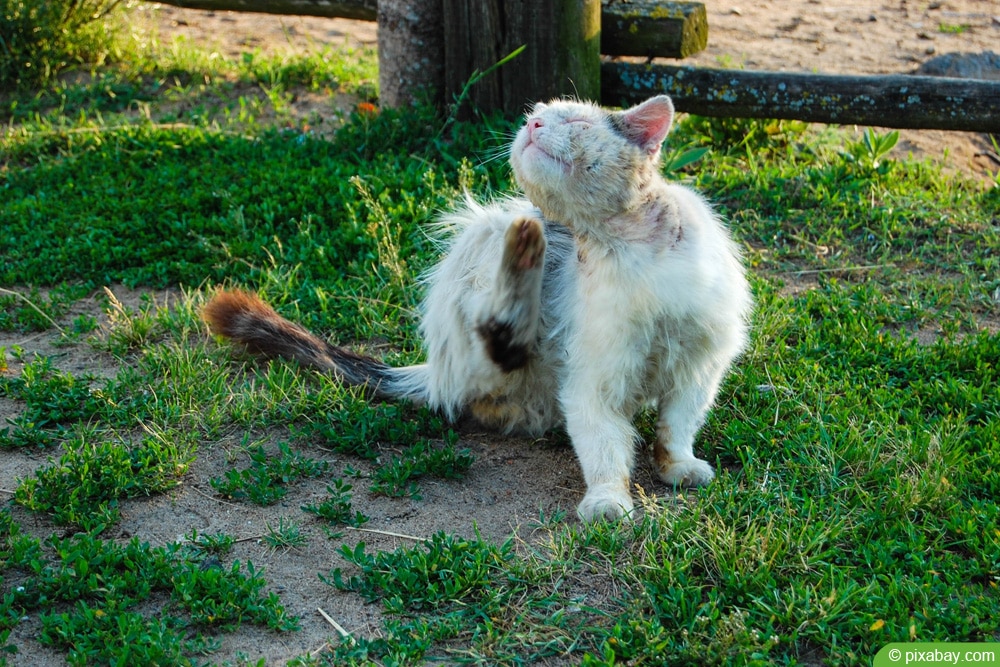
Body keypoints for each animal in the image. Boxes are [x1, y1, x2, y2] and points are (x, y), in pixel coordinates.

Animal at [203, 94, 752, 520]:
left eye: (574, 122)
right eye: (536, 115)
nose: (531, 125)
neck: (627, 249)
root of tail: (434, 370)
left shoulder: (700, 366)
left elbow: (676, 425)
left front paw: (678, 465)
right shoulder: (593, 381)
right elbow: (603, 448)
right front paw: (607, 500)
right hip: (486, 234)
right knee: (494, 338)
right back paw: (524, 253)